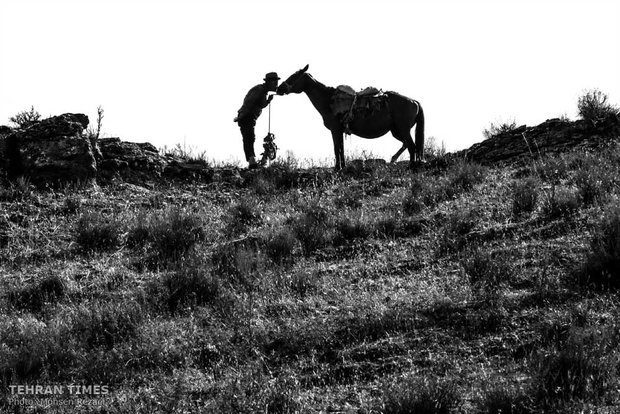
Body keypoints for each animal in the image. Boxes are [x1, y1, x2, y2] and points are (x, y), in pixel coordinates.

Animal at [278, 64, 424, 169]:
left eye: (294, 76)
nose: (280, 88)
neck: (329, 100)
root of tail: (414, 101)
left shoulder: (335, 130)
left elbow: (336, 148)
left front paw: (337, 168)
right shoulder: (340, 131)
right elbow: (341, 149)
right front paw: (342, 167)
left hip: (403, 129)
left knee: (412, 146)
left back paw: (410, 166)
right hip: (396, 131)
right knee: (408, 145)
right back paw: (400, 160)